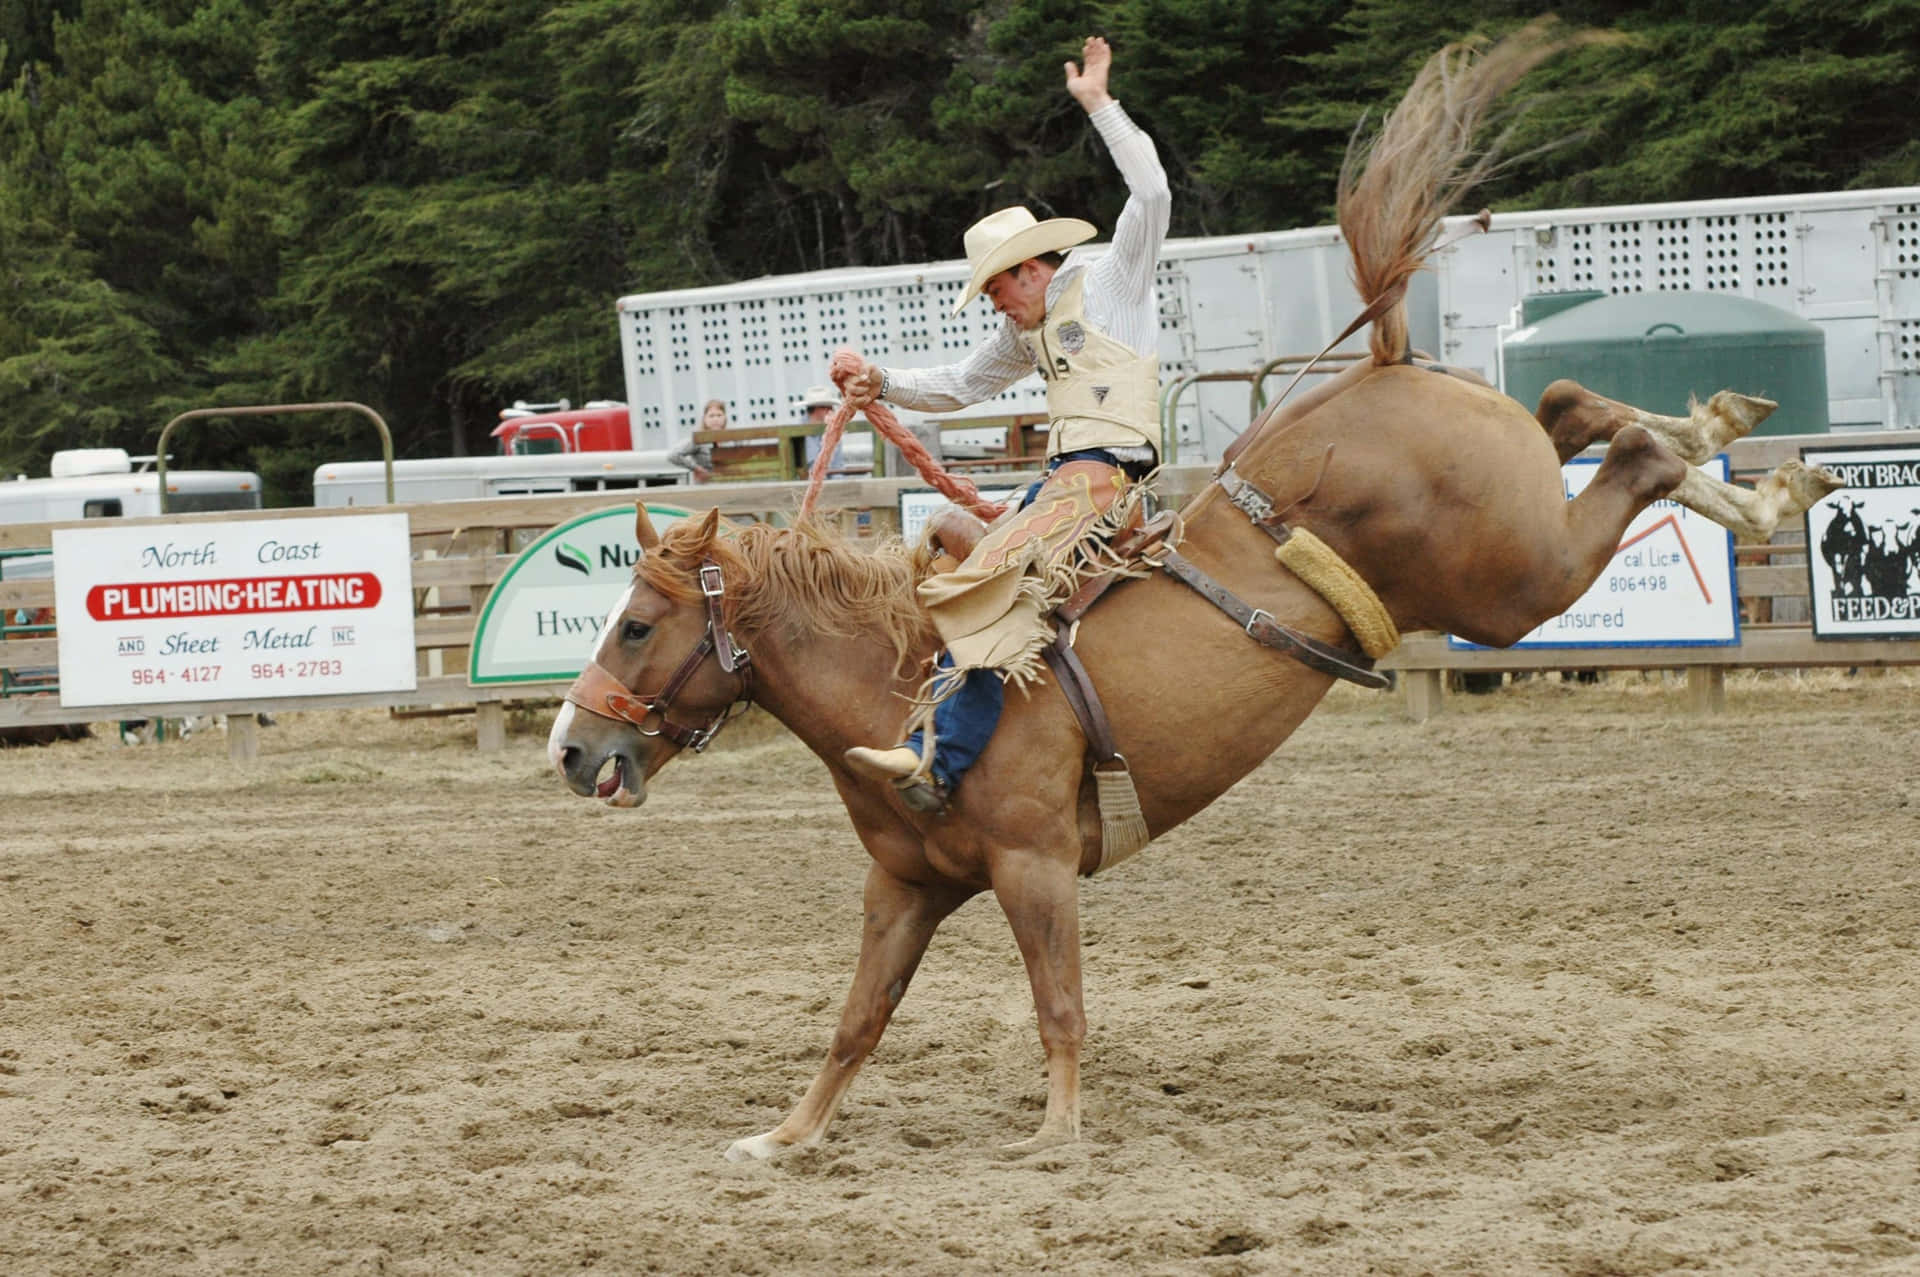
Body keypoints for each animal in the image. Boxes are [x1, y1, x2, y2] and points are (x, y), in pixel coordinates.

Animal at [548, 29, 1842, 1161]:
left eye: (640, 622)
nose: (569, 746)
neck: (901, 683)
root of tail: (1377, 362)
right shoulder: (905, 885)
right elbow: (857, 1016)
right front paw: (786, 1135)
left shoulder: (1032, 863)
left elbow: (1058, 1001)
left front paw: (1057, 1134)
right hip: (1514, 525)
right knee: (1578, 407)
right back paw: (1743, 448)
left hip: (1512, 579)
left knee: (1631, 459)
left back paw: (1754, 470)